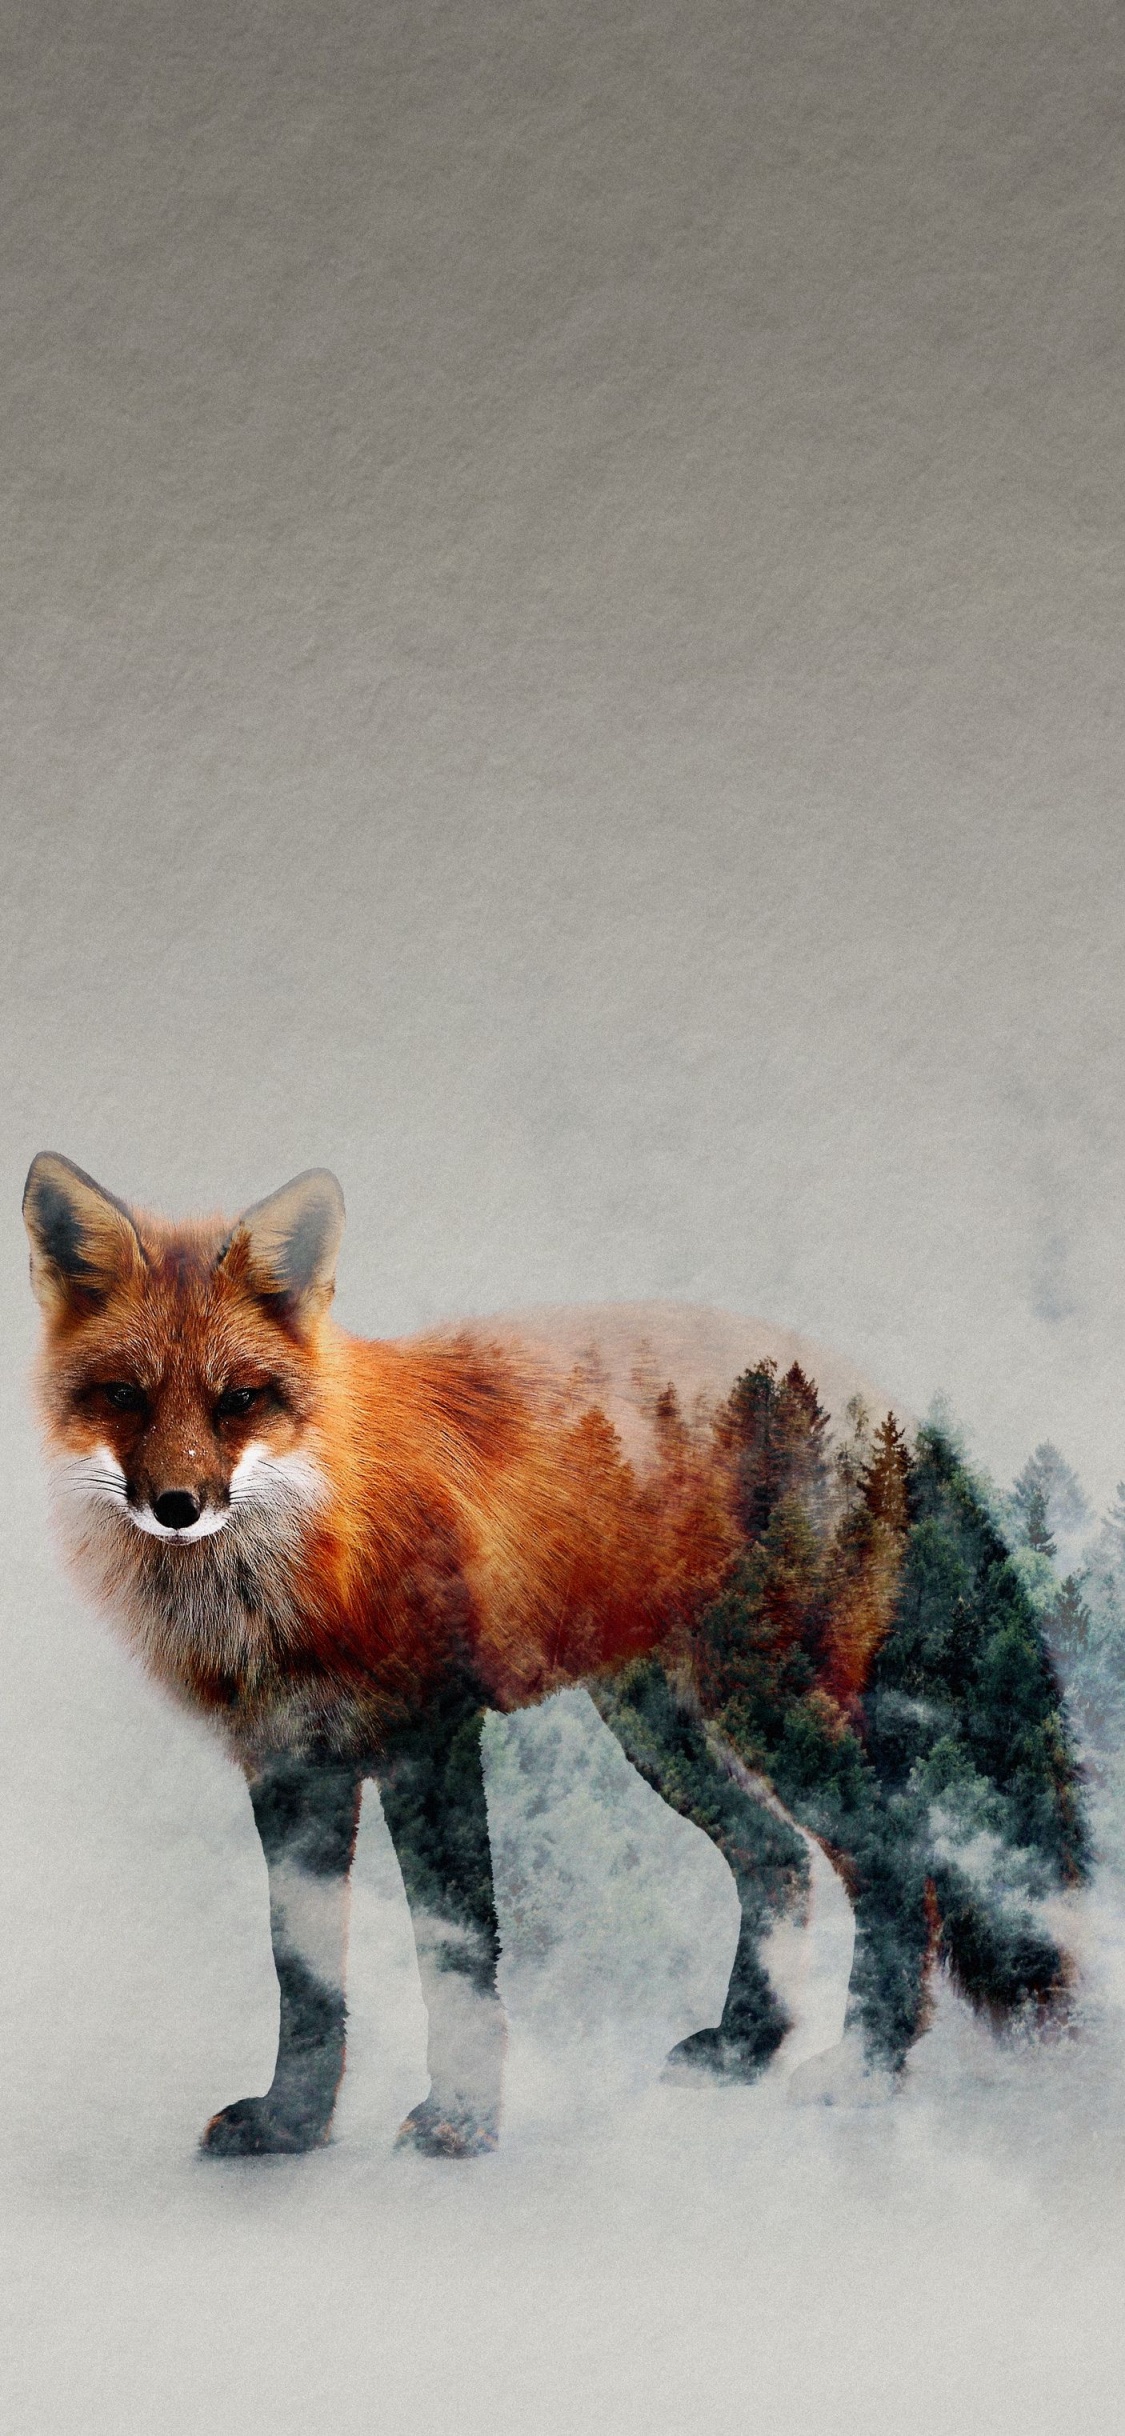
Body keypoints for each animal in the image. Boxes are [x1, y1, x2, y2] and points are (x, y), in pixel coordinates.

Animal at [22, 1154, 1085, 2157]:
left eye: (239, 1400)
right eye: (124, 1397)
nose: (177, 1507)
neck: (293, 1570)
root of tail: (877, 1398)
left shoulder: (431, 1741)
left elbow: (454, 1958)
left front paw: (460, 2123)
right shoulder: (288, 1767)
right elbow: (306, 1977)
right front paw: (294, 2126)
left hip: (770, 1708)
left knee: (901, 1859)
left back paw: (868, 2064)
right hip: (662, 1727)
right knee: (776, 1859)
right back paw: (748, 2045)